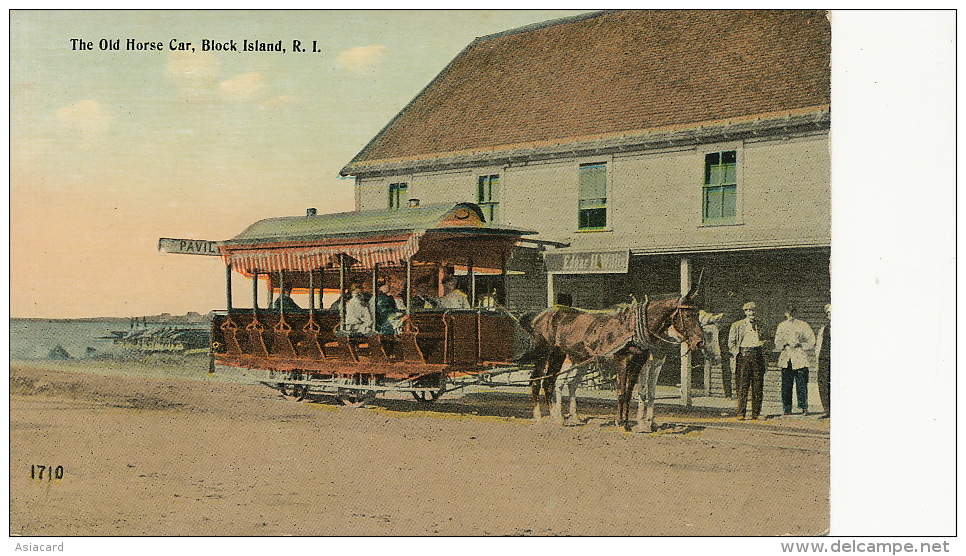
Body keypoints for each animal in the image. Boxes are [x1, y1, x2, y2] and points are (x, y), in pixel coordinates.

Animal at [524, 288, 708, 432]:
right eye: (688, 315)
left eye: (697, 313)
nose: (699, 342)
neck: (633, 329)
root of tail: (539, 317)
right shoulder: (622, 363)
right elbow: (622, 392)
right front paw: (622, 422)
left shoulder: (637, 364)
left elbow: (630, 394)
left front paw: (628, 422)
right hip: (544, 355)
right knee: (538, 381)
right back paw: (540, 416)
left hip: (559, 356)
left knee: (550, 383)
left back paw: (557, 418)